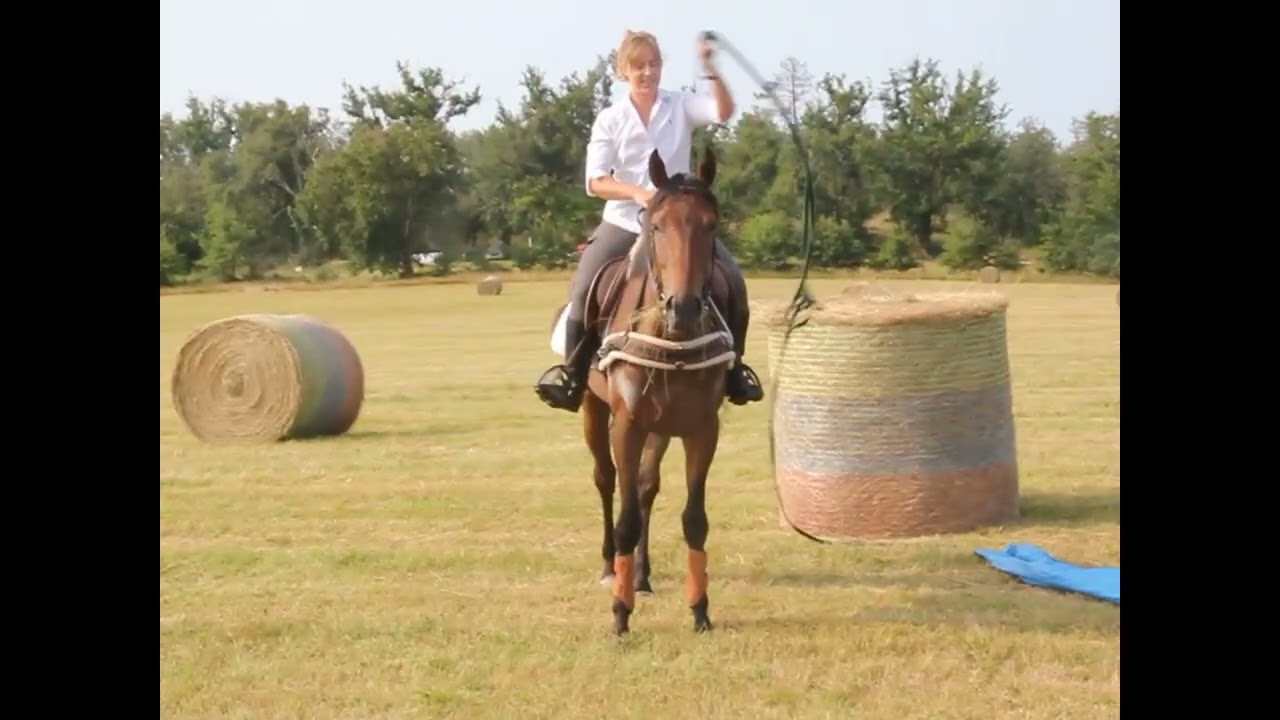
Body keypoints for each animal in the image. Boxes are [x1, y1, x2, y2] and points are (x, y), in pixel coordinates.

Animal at [569, 145, 744, 636]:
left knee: (646, 486)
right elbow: (626, 517)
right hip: (594, 410)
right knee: (606, 480)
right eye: (656, 224)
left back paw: (642, 576)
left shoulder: (702, 428)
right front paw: (620, 613)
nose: (683, 307)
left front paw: (700, 609)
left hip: (662, 426)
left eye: (711, 224)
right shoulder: (627, 425)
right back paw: (611, 567)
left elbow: (694, 518)